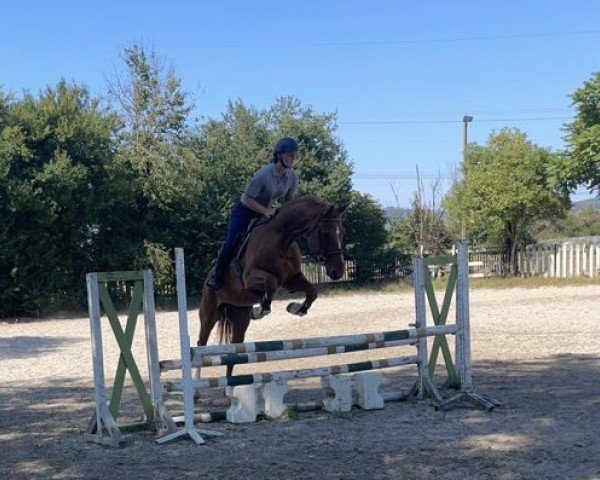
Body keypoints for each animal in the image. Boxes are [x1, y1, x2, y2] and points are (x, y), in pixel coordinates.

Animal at [198, 194, 346, 376]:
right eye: (325, 234)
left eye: (342, 233)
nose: (338, 271)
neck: (282, 238)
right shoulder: (249, 278)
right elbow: (272, 284)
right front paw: (260, 310)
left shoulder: (292, 279)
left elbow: (312, 292)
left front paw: (297, 308)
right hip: (209, 314)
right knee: (200, 345)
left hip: (239, 320)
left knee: (234, 354)